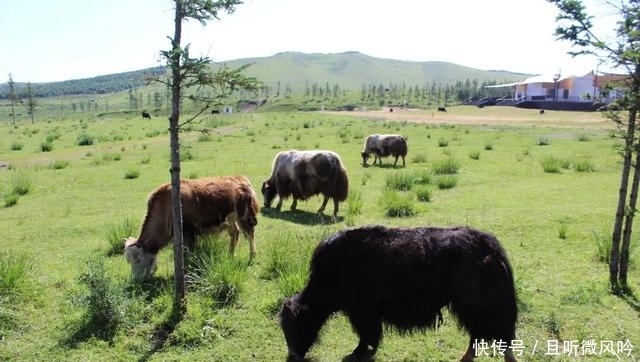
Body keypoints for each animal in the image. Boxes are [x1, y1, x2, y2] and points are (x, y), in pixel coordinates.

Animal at [125, 177, 260, 282]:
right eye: (129, 261)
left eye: (138, 260)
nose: (136, 279)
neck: (166, 207)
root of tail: (242, 180)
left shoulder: (189, 233)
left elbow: (189, 252)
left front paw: (189, 269)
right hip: (231, 219)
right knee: (235, 234)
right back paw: (230, 256)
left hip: (245, 216)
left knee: (250, 234)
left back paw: (252, 257)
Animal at [280, 225, 520, 360]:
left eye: (297, 325)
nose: (293, 357)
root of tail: (490, 247)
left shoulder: (363, 311)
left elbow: (366, 333)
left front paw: (357, 352)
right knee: (480, 336)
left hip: (477, 307)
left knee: (494, 335)